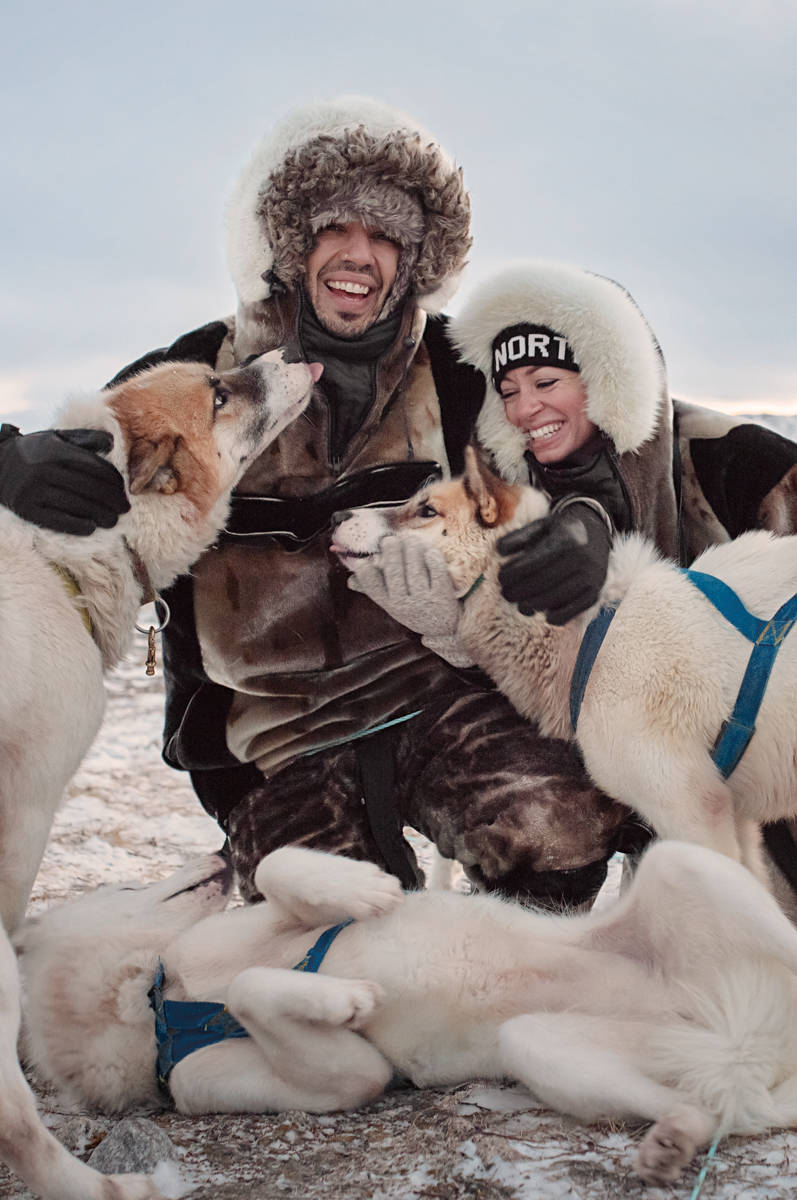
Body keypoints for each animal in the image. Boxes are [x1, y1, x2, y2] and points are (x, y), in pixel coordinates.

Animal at [12, 840, 797, 1185]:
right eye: (122, 883)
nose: (214, 851)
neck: (161, 1001)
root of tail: (748, 1042)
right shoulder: (331, 1077)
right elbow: (279, 1008)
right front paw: (341, 999)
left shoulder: (253, 924)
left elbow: (275, 869)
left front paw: (365, 890)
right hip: (541, 1047)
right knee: (719, 1109)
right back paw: (673, 1142)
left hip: (677, 864)